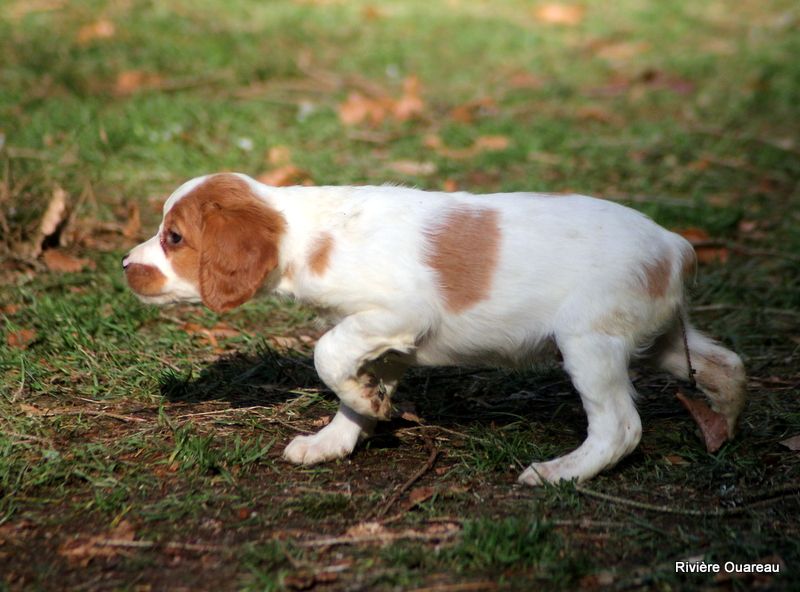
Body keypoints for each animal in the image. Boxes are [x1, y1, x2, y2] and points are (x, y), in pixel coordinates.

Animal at [122, 172, 748, 486]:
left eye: (174, 237)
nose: (126, 266)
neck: (311, 233)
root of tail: (674, 244)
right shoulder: (384, 339)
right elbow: (350, 379)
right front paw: (341, 434)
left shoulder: (398, 313)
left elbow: (326, 355)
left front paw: (362, 410)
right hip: (659, 339)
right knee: (727, 365)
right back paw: (723, 425)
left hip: (589, 341)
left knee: (620, 426)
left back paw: (561, 472)